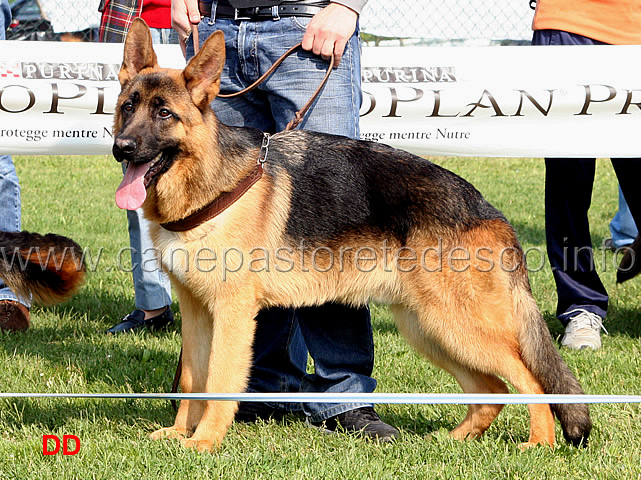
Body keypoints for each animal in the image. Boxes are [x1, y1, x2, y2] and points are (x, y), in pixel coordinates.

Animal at [114, 18, 592, 452]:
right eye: (127, 107)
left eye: (164, 113)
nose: (122, 148)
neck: (208, 182)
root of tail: (487, 209)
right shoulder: (196, 312)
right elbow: (191, 379)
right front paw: (180, 433)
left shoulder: (232, 314)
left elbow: (217, 380)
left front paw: (204, 442)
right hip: (430, 329)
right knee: (492, 391)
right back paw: (453, 440)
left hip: (457, 325)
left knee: (531, 381)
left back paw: (539, 444)